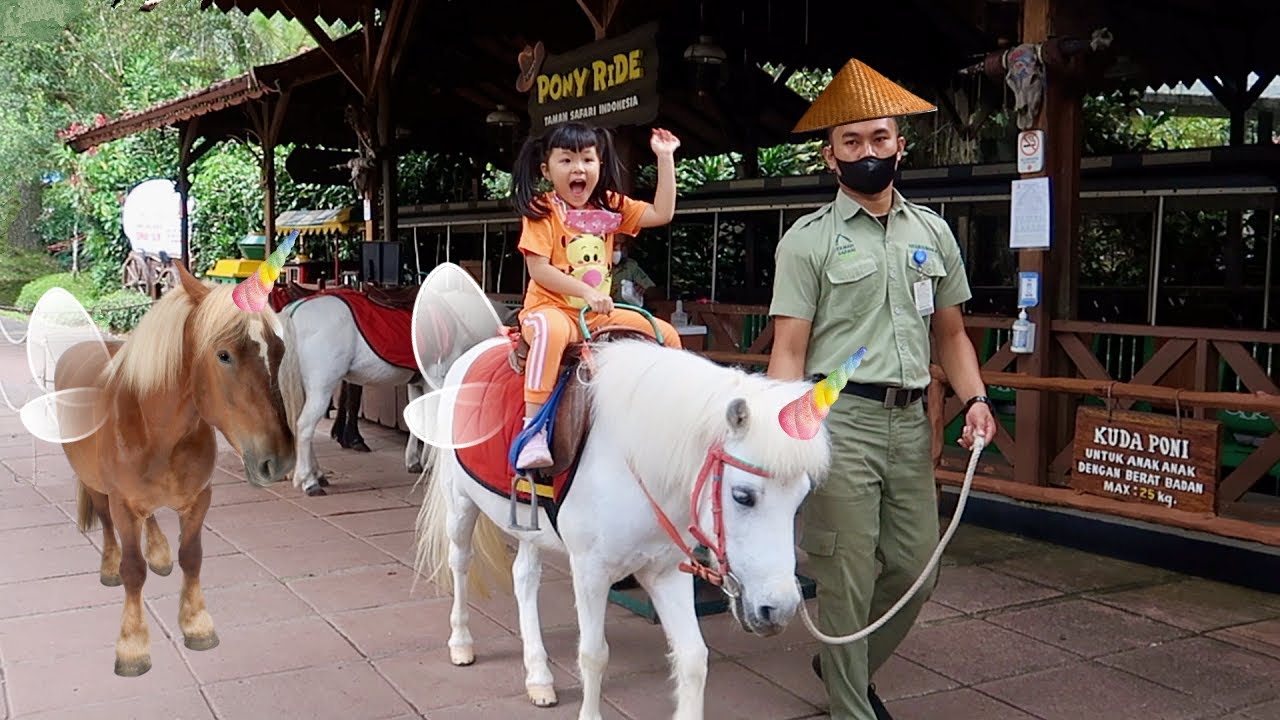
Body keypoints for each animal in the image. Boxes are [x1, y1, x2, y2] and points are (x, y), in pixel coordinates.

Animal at [45, 258, 294, 671]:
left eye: (279, 350)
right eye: (223, 355)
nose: (280, 460)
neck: (156, 428)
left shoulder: (199, 500)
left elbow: (191, 557)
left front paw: (197, 624)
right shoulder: (122, 503)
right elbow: (133, 570)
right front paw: (132, 645)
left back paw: (159, 552)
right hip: (95, 484)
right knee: (107, 523)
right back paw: (109, 566)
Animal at [409, 263, 844, 717]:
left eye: (801, 500)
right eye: (743, 496)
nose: (780, 608)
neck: (635, 458)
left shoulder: (667, 571)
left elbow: (694, 658)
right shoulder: (591, 572)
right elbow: (594, 655)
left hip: (527, 521)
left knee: (524, 578)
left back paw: (539, 676)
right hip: (460, 505)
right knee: (460, 562)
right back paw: (461, 643)